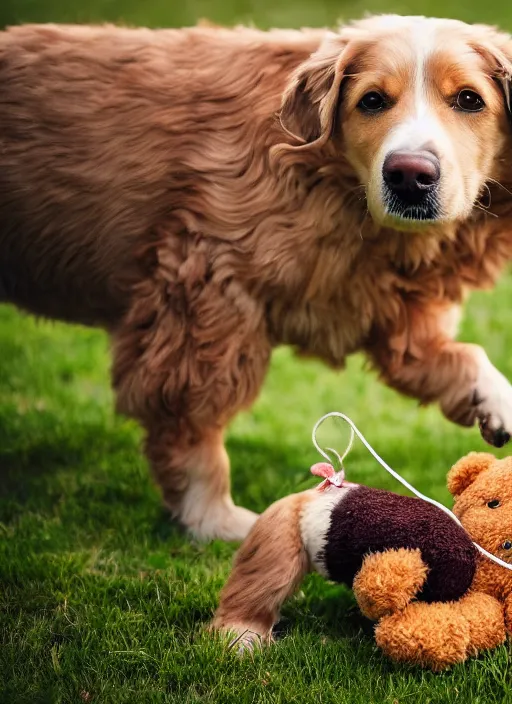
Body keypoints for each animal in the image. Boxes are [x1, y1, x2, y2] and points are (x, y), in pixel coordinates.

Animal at [1, 16, 512, 540]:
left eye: (469, 99)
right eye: (372, 101)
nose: (409, 175)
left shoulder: (390, 308)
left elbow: (456, 355)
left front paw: (495, 401)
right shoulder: (203, 291)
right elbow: (192, 426)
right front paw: (212, 517)